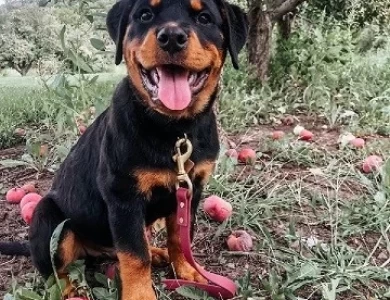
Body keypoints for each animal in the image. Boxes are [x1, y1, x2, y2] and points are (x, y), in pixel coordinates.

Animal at [1, 0, 248, 300]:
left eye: (204, 18)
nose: (171, 37)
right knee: (54, 271)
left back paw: (157, 252)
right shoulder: (123, 197)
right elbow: (134, 255)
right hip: (48, 217)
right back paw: (70, 289)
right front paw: (140, 294)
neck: (173, 129)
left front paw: (188, 272)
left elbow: (180, 237)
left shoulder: (190, 190)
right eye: (145, 15)